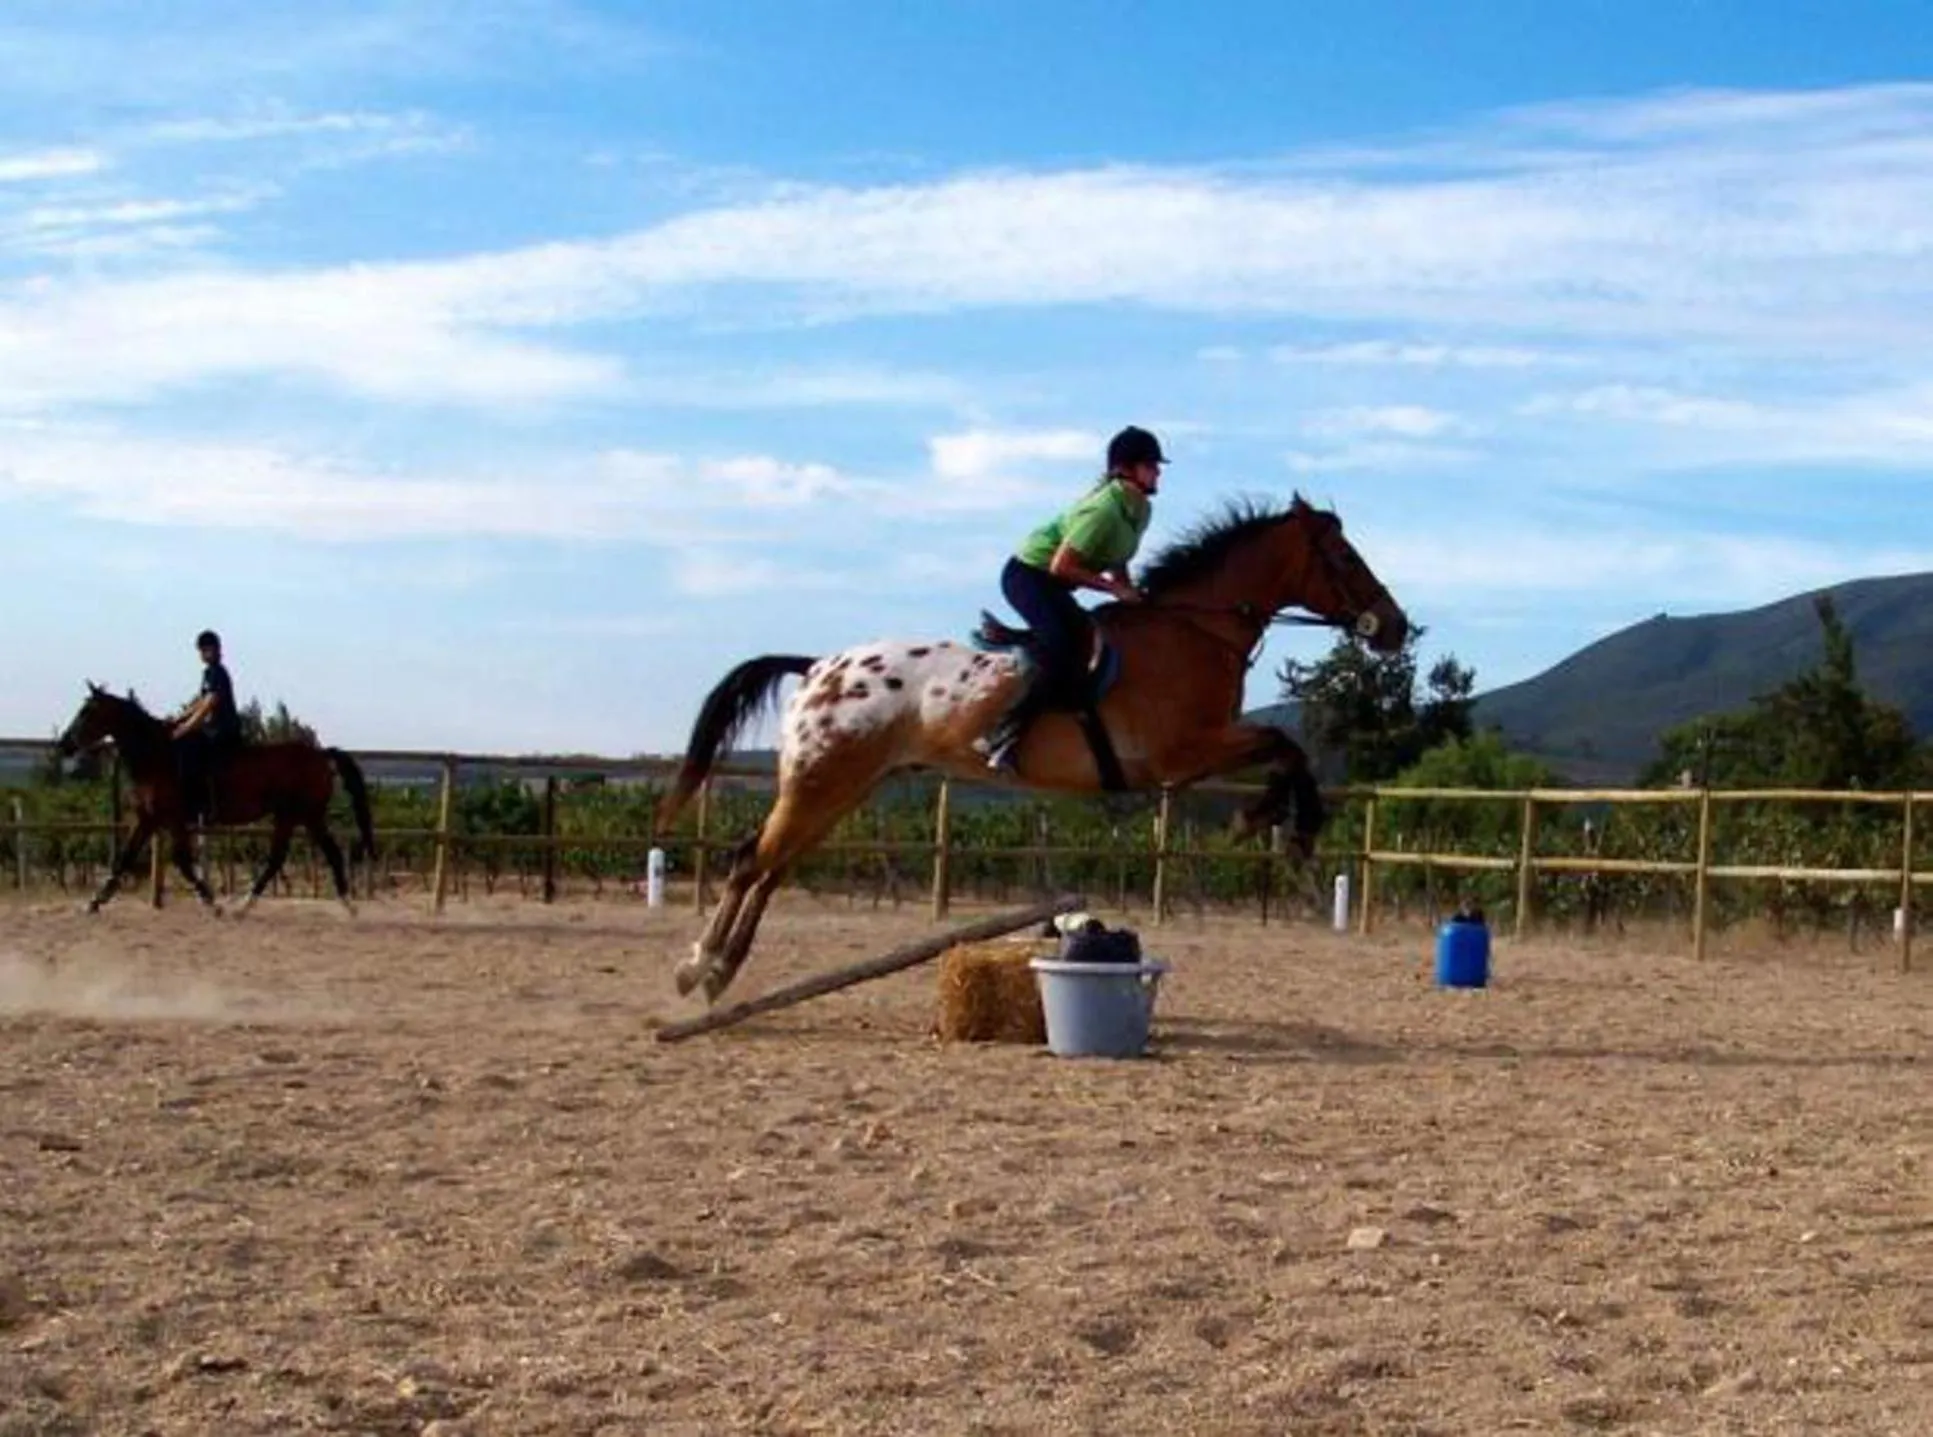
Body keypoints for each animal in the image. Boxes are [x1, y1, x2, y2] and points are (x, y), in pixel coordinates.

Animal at [55, 684, 377, 917]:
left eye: (87, 711)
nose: (64, 744)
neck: (157, 755)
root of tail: (320, 755)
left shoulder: (172, 818)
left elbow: (182, 861)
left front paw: (211, 902)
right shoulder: (148, 817)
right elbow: (125, 857)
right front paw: (95, 902)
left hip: (302, 814)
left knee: (313, 855)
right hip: (296, 816)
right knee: (291, 857)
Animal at [655, 493, 1410, 1003]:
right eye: (1345, 556)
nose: (1397, 626)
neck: (1194, 630)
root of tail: (818, 666)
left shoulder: (1199, 753)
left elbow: (1285, 751)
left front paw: (1272, 821)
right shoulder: (1182, 752)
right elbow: (1285, 744)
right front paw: (1281, 826)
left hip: (843, 788)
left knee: (770, 866)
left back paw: (719, 970)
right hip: (821, 781)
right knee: (751, 860)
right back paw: (699, 967)